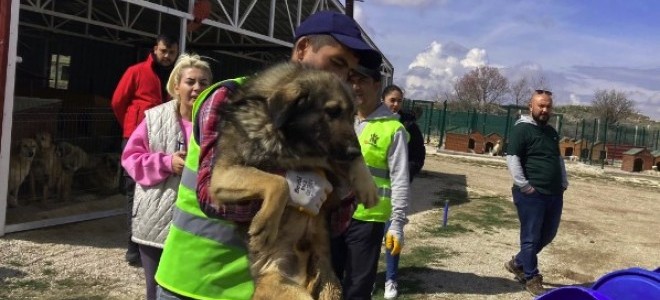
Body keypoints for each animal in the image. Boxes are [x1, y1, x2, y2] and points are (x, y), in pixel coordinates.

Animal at [209, 62, 378, 298]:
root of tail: (304, 279)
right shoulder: (221, 175)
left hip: (330, 287)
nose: (353, 151)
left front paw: (367, 184)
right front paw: (265, 224)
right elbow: (277, 182)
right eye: (333, 111)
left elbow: (351, 163)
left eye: (353, 115)